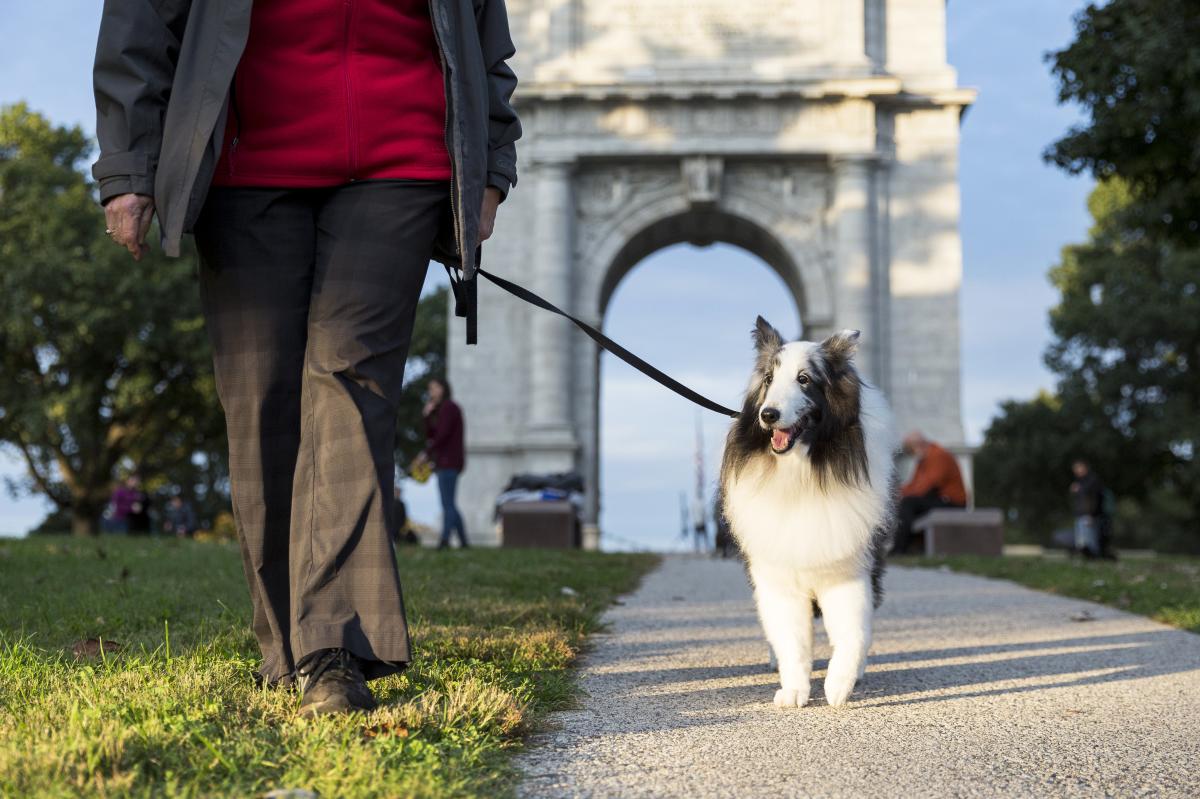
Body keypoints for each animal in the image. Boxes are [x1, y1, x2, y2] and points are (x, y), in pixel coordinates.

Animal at [715, 316, 897, 705]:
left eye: (804, 379)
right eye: (769, 379)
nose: (768, 415)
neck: (802, 471)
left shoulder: (848, 572)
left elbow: (852, 634)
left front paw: (838, 686)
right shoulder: (778, 579)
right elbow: (793, 642)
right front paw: (794, 691)